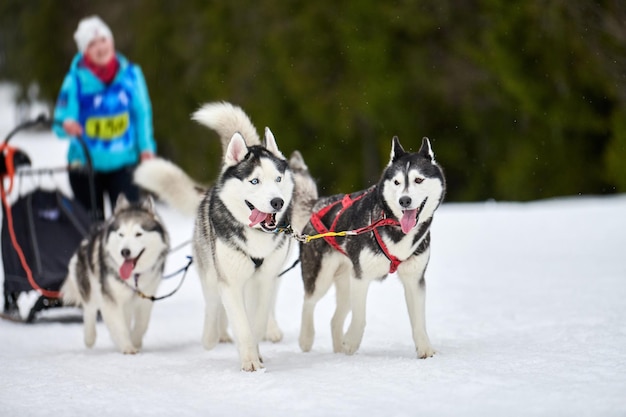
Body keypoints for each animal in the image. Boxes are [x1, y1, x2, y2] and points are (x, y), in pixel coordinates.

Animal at [60, 195, 168, 354]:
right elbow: (119, 325)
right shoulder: (111, 299)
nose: (125, 252)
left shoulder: (146, 297)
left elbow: (142, 324)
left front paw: (135, 341)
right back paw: (90, 338)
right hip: (90, 286)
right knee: (89, 310)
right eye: (121, 234)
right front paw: (128, 347)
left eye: (138, 234)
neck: (134, 277)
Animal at [135, 101, 314, 370]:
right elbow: (240, 321)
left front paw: (255, 351)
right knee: (213, 304)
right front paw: (250, 361)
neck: (256, 237)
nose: (278, 202)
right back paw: (212, 336)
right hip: (210, 271)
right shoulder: (230, 282)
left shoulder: (265, 280)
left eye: (278, 178)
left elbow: (256, 321)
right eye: (254, 181)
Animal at [298, 136, 442, 358]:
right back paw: (306, 339)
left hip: (346, 281)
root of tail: (319, 204)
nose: (404, 200)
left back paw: (339, 352)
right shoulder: (361, 277)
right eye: (397, 182)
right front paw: (351, 341)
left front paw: (425, 349)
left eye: (418, 180)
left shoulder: (414, 279)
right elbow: (360, 317)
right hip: (323, 277)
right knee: (308, 302)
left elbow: (419, 322)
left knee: (334, 320)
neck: (392, 225)